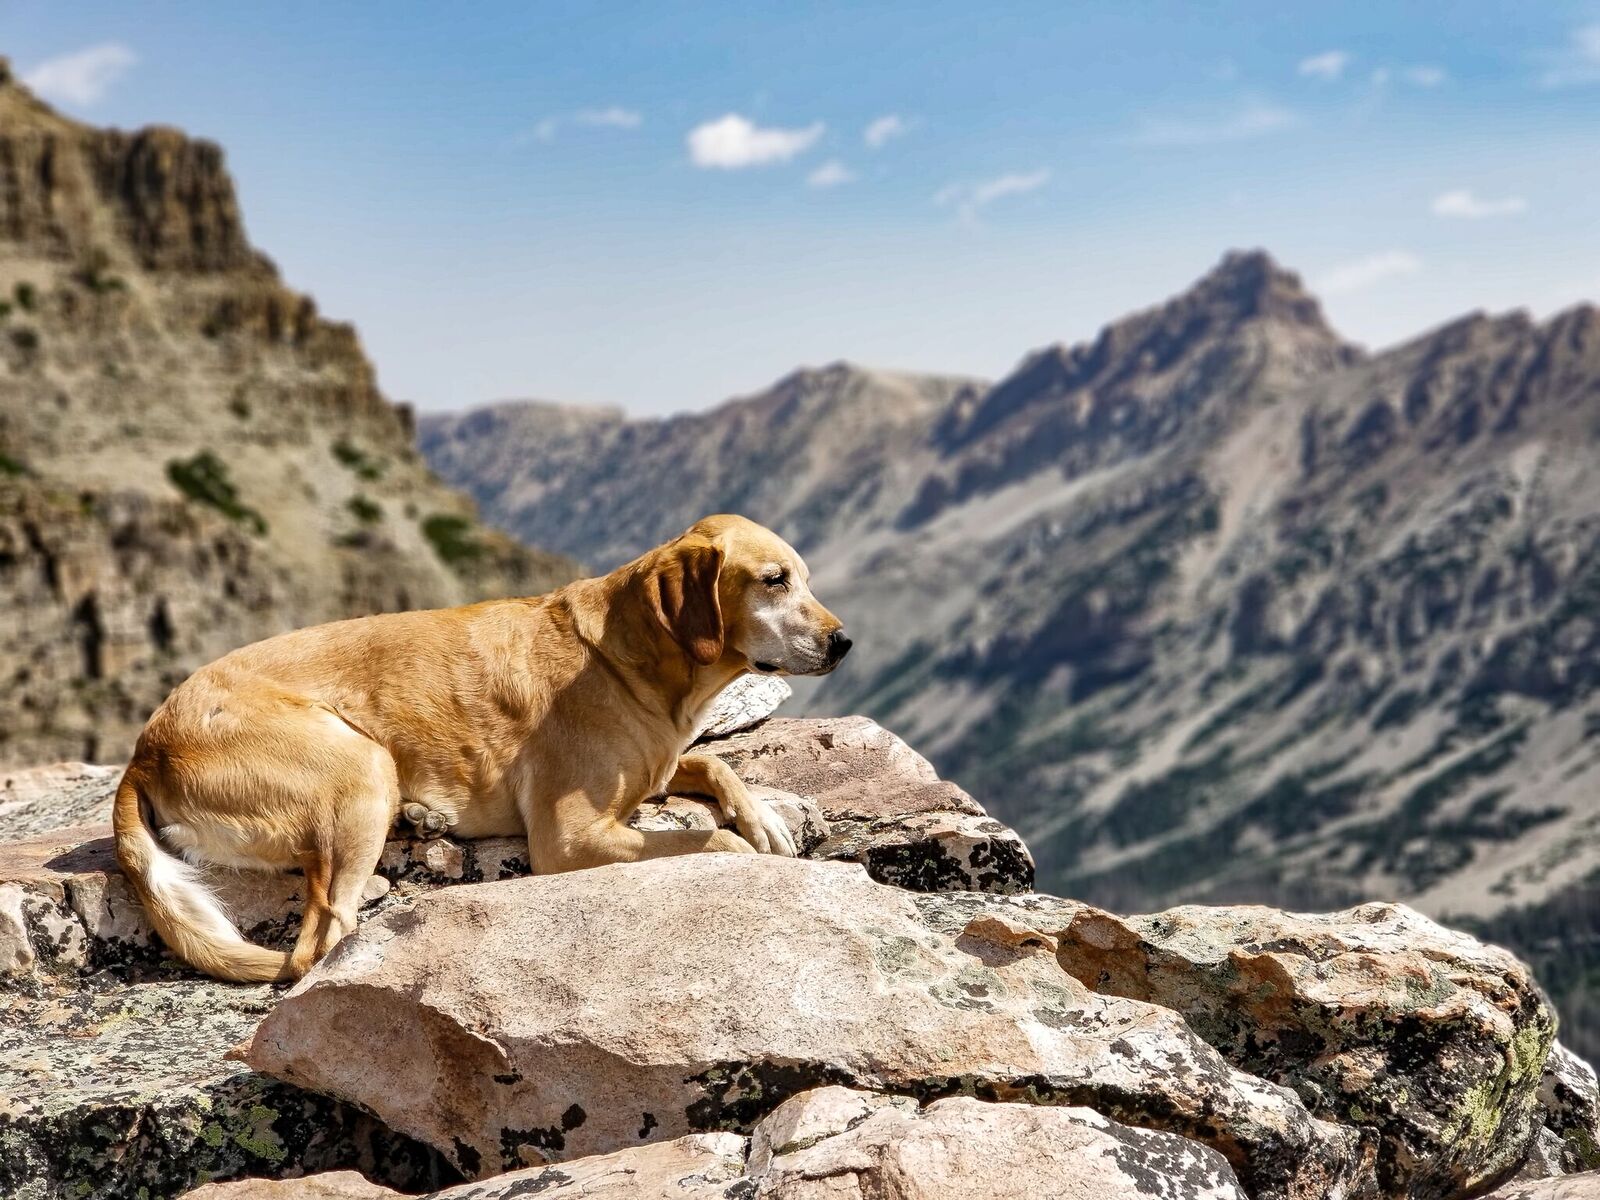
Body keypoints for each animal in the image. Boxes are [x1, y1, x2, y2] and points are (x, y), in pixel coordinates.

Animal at [111, 512, 851, 979]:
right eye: (774, 579)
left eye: (806, 578)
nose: (844, 643)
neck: (636, 656)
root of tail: (144, 750)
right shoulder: (570, 839)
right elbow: (714, 840)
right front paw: (751, 843)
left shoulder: (660, 765)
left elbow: (714, 760)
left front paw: (765, 820)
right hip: (361, 764)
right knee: (315, 944)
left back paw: (420, 818)